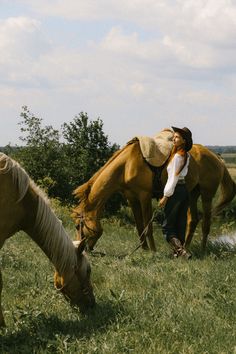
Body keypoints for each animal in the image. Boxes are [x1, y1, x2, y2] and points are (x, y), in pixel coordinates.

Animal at [73, 140, 235, 253]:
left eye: (77, 226)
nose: (82, 249)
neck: (126, 165)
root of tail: (216, 157)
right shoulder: (132, 198)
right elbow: (139, 225)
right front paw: (144, 248)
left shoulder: (144, 196)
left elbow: (148, 226)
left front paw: (153, 250)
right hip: (193, 194)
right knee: (193, 220)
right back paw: (186, 247)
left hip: (207, 195)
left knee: (206, 223)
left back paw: (202, 249)